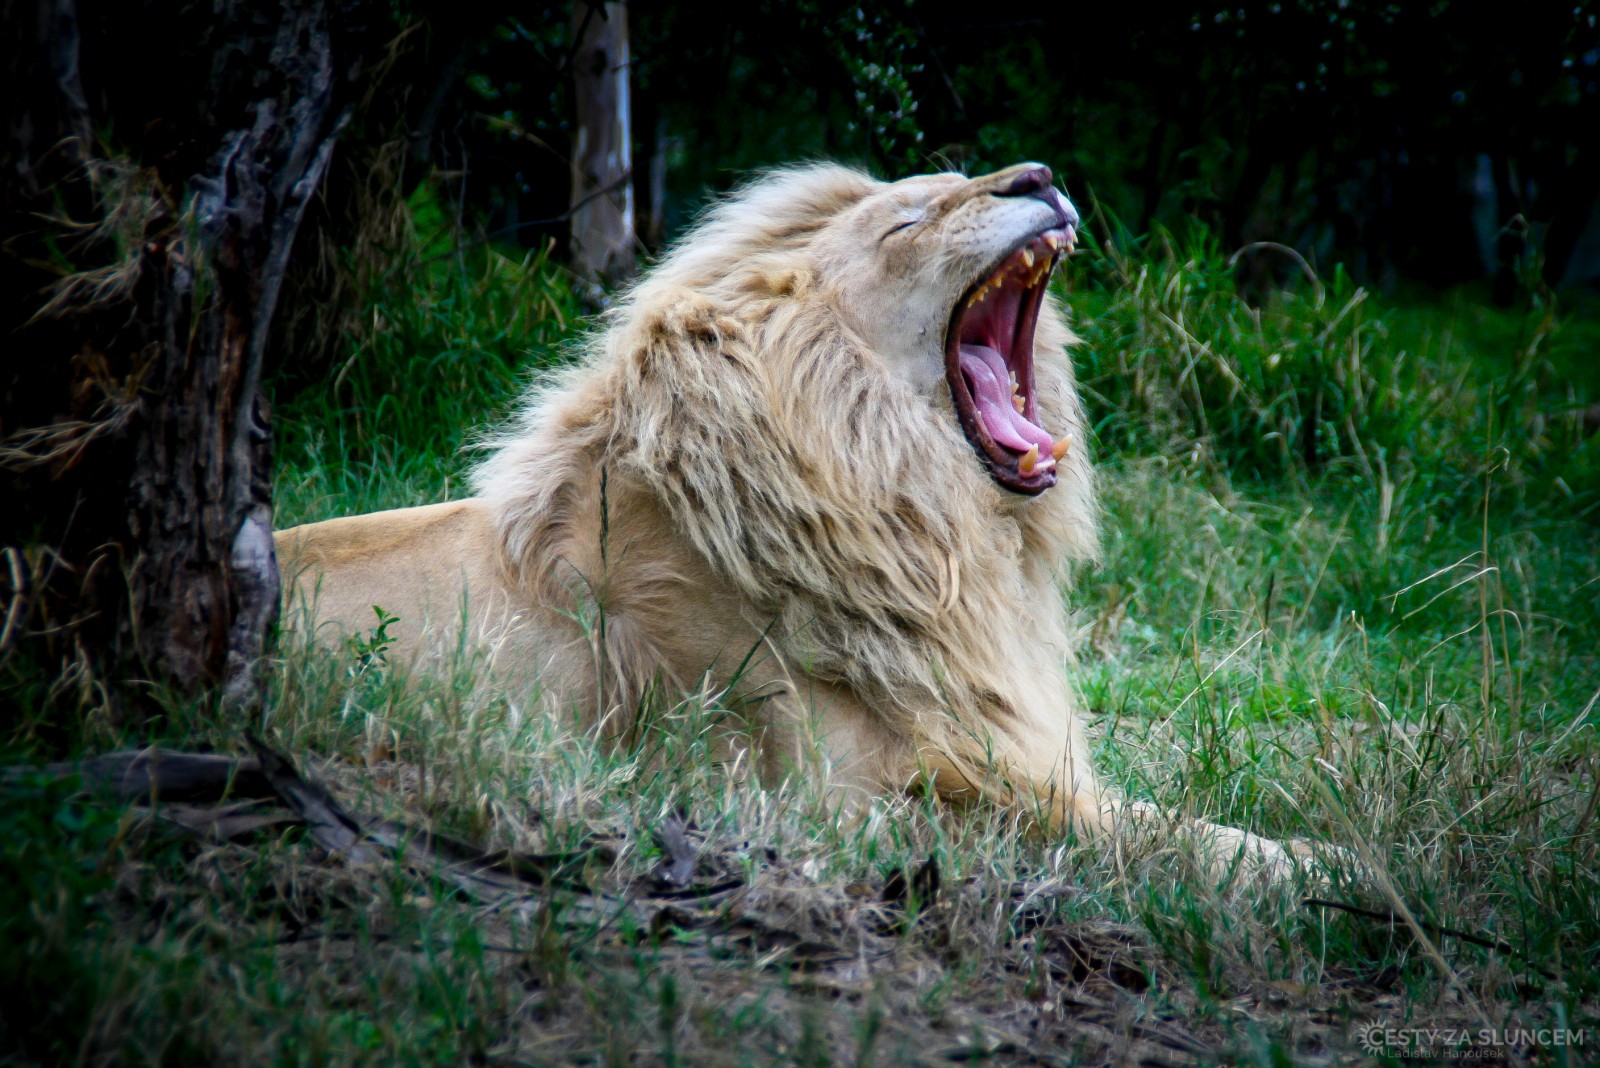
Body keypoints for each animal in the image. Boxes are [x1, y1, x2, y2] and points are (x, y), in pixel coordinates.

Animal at [276, 162, 1326, 882]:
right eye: (913, 216)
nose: (1039, 175)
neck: (934, 528)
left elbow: (1155, 813)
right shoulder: (848, 799)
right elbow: (1146, 831)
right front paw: (1330, 871)